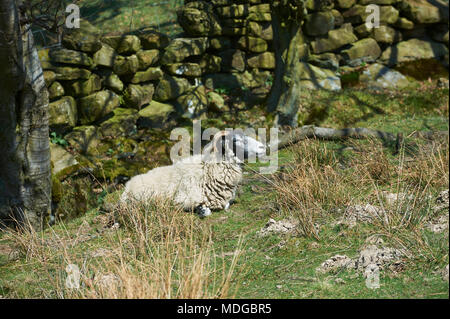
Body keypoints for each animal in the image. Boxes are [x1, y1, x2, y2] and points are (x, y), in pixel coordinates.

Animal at [120, 131, 268, 218]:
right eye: (236, 140)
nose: (263, 147)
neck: (209, 170)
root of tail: (128, 185)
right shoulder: (183, 200)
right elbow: (205, 211)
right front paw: (200, 211)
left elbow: (226, 205)